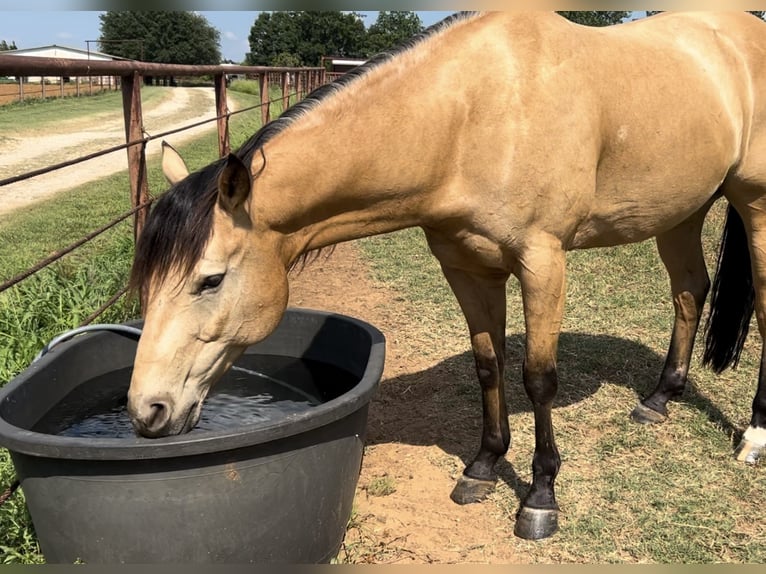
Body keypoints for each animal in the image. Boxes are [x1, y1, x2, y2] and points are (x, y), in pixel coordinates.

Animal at [127, 12, 766, 544]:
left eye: (210, 281)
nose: (145, 412)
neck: (470, 117)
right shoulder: (464, 265)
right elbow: (488, 364)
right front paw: (482, 466)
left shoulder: (543, 262)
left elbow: (538, 379)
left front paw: (540, 498)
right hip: (681, 212)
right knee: (690, 293)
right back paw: (660, 398)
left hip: (754, 206)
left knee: (759, 306)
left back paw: (754, 436)